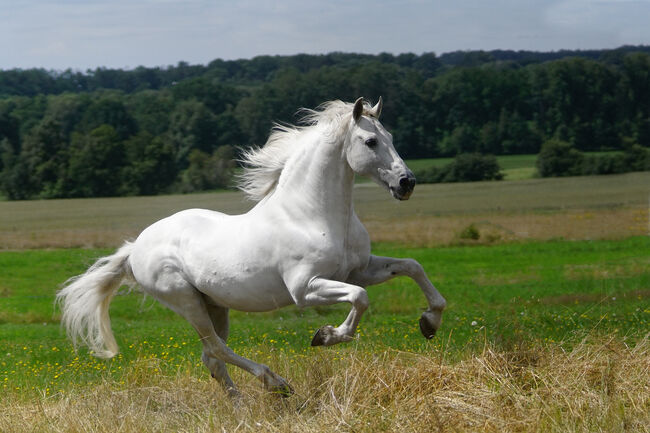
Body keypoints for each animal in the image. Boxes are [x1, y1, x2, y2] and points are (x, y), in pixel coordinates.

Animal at [57, 97, 446, 394]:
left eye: (391, 136)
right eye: (370, 142)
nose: (406, 183)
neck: (311, 215)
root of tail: (136, 246)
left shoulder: (359, 270)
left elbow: (412, 267)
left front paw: (429, 322)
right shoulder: (305, 288)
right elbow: (360, 299)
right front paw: (325, 335)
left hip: (214, 305)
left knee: (213, 359)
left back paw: (241, 408)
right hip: (186, 302)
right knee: (217, 348)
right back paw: (276, 384)